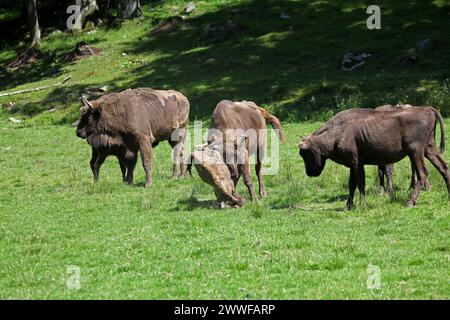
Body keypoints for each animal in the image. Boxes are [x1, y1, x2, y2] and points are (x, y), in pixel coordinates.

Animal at [298, 106, 448, 209]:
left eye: (305, 153)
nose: (309, 172)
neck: (338, 132)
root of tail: (427, 109)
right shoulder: (353, 165)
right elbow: (351, 184)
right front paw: (349, 205)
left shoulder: (357, 164)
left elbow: (360, 184)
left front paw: (362, 204)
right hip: (428, 149)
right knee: (443, 167)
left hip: (415, 151)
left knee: (422, 173)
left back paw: (410, 201)